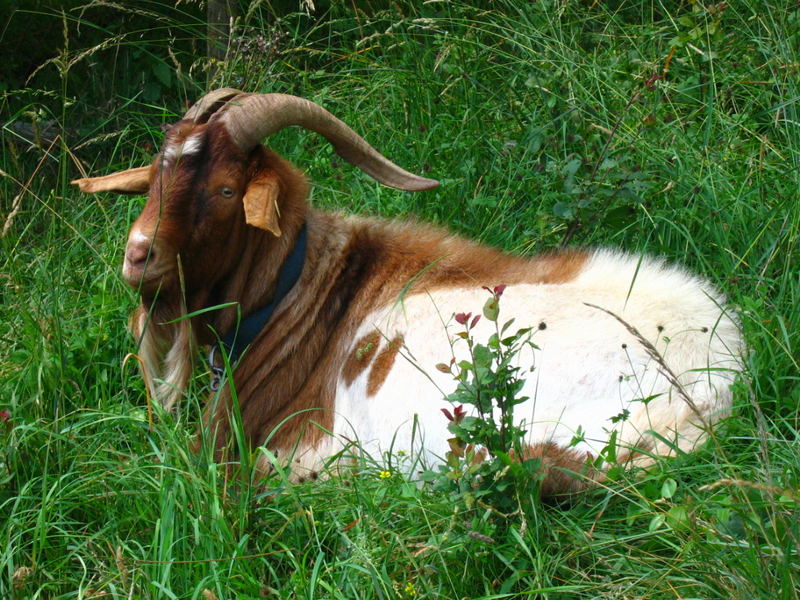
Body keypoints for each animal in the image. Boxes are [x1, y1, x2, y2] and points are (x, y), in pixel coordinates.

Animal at [75, 88, 744, 492]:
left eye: (224, 191)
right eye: (153, 178)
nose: (139, 258)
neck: (303, 292)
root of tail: (709, 384)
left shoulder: (298, 442)